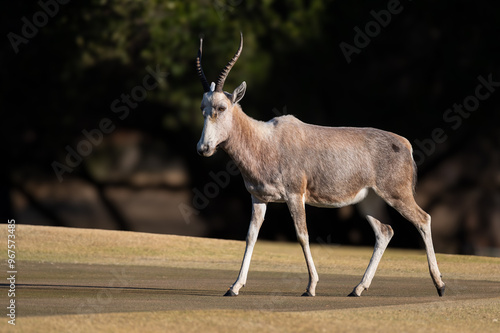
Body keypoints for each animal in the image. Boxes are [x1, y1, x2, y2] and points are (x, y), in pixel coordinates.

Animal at [195, 32, 446, 296]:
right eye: (203, 108)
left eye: (221, 107)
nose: (204, 148)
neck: (266, 140)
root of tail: (404, 144)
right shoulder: (259, 198)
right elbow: (251, 236)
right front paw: (234, 287)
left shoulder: (295, 195)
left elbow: (302, 235)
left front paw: (311, 287)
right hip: (369, 200)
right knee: (384, 231)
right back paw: (358, 288)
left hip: (397, 195)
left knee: (423, 219)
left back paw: (440, 285)